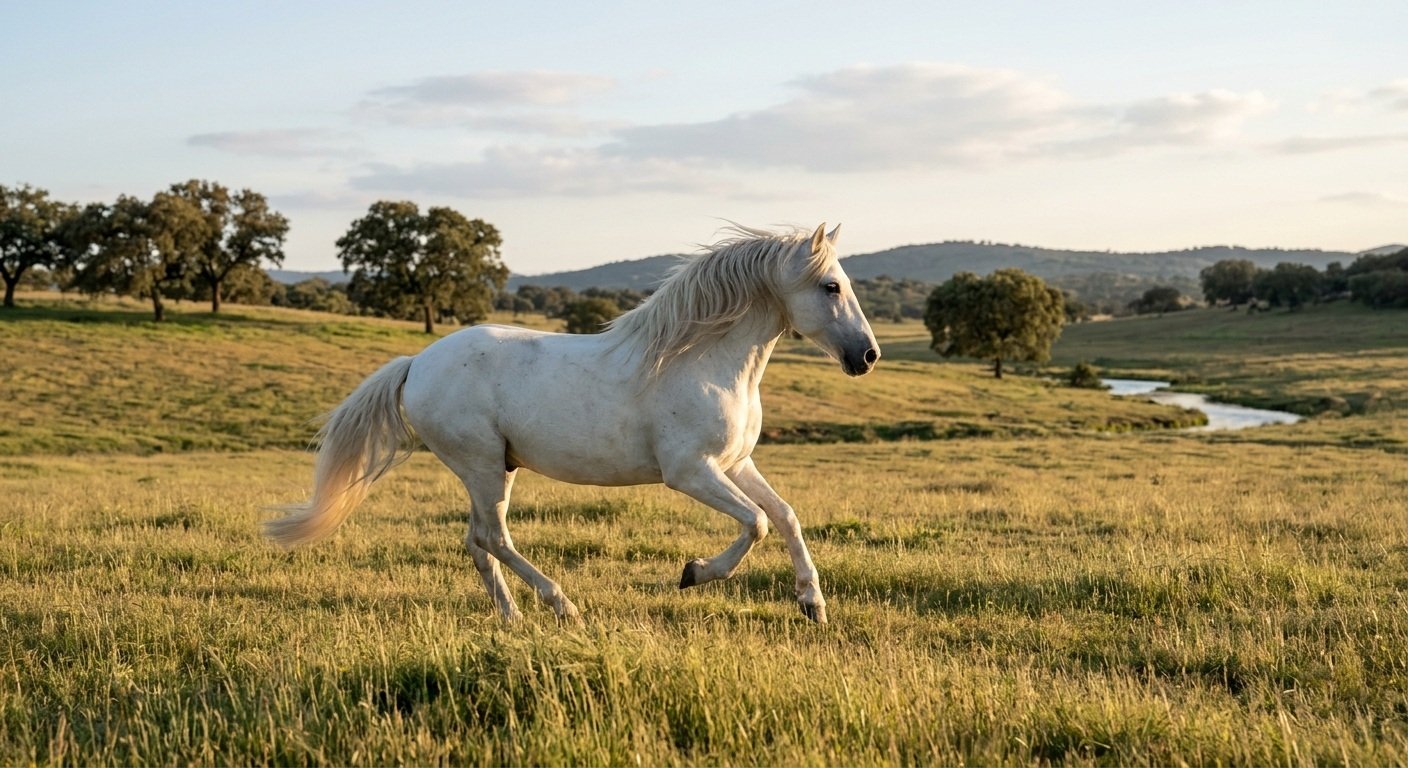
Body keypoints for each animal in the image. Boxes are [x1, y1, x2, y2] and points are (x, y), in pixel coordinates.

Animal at [264, 223, 880, 624]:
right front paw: (692, 573)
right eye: (831, 286)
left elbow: (785, 516)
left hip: (495, 468)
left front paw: (813, 604)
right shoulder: (690, 472)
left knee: (477, 541)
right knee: (493, 536)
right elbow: (755, 524)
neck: (701, 361)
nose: (868, 356)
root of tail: (416, 363)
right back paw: (562, 604)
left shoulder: (735, 463)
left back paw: (511, 617)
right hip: (482, 465)